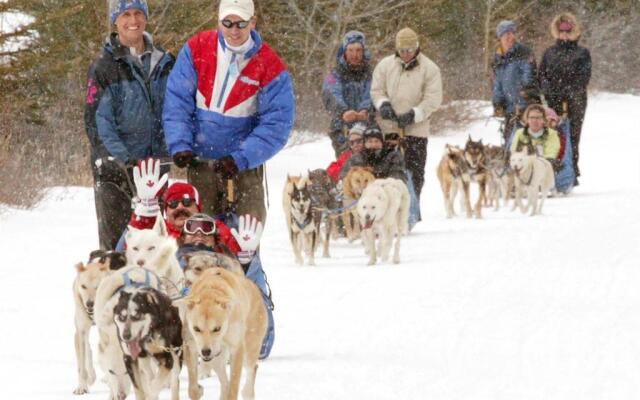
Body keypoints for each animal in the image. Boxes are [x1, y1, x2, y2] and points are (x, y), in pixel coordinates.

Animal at [182, 268, 268, 400]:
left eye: (217, 328)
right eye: (196, 328)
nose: (205, 351)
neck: (211, 289)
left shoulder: (237, 350)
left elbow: (233, 387)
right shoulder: (191, 346)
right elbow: (192, 389)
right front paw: (198, 390)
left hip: (249, 350)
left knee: (252, 369)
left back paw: (247, 392)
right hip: (216, 359)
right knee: (225, 383)